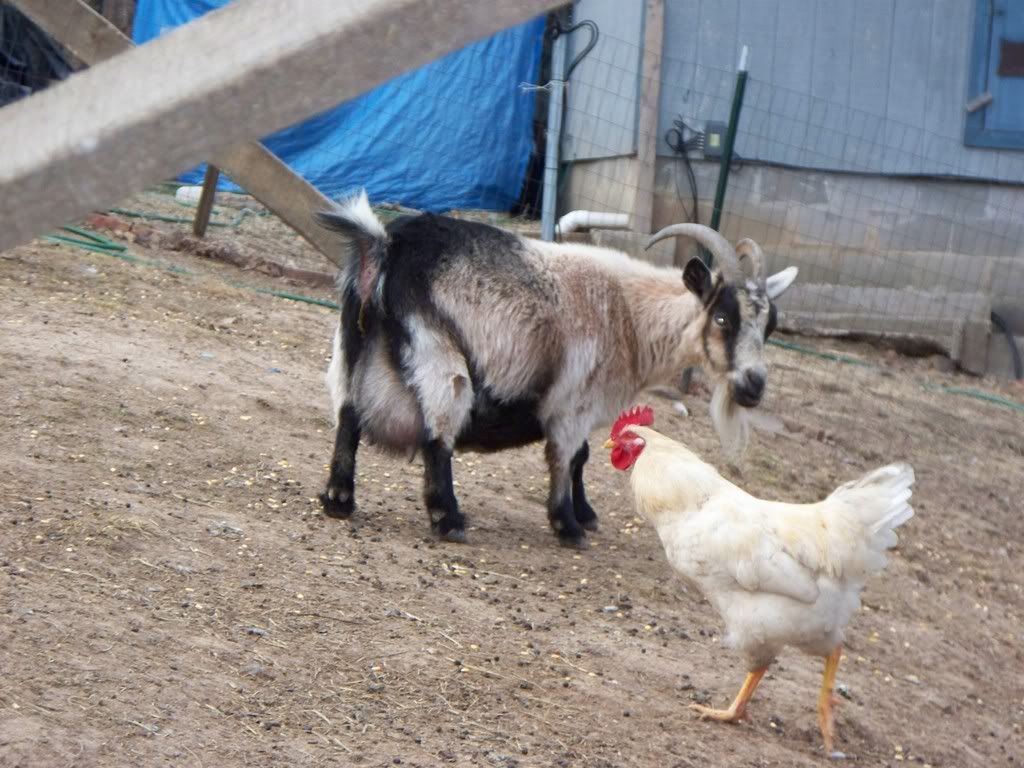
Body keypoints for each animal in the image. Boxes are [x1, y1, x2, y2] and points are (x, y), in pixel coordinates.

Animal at [316, 191, 798, 548]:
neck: (630, 316)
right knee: (437, 436)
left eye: (770, 324)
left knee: (347, 414)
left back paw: (339, 498)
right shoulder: (574, 399)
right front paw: (568, 525)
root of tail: (384, 246)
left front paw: (585, 514)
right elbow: (568, 457)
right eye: (723, 318)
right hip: (440, 354)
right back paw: (448, 518)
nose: (754, 386)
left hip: (351, 344)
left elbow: (583, 456)